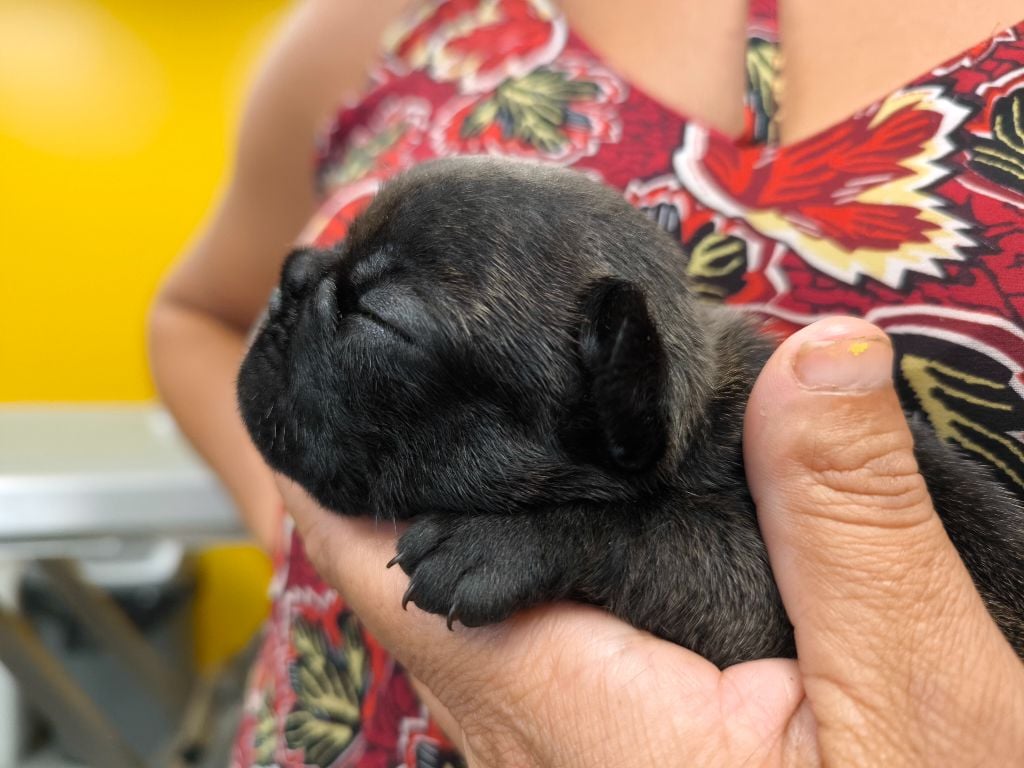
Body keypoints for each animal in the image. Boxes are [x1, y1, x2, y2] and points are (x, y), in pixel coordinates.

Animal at [237, 156, 1024, 667]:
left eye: (378, 319)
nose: (290, 274)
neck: (696, 422)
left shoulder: (759, 610)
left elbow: (654, 535)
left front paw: (495, 545)